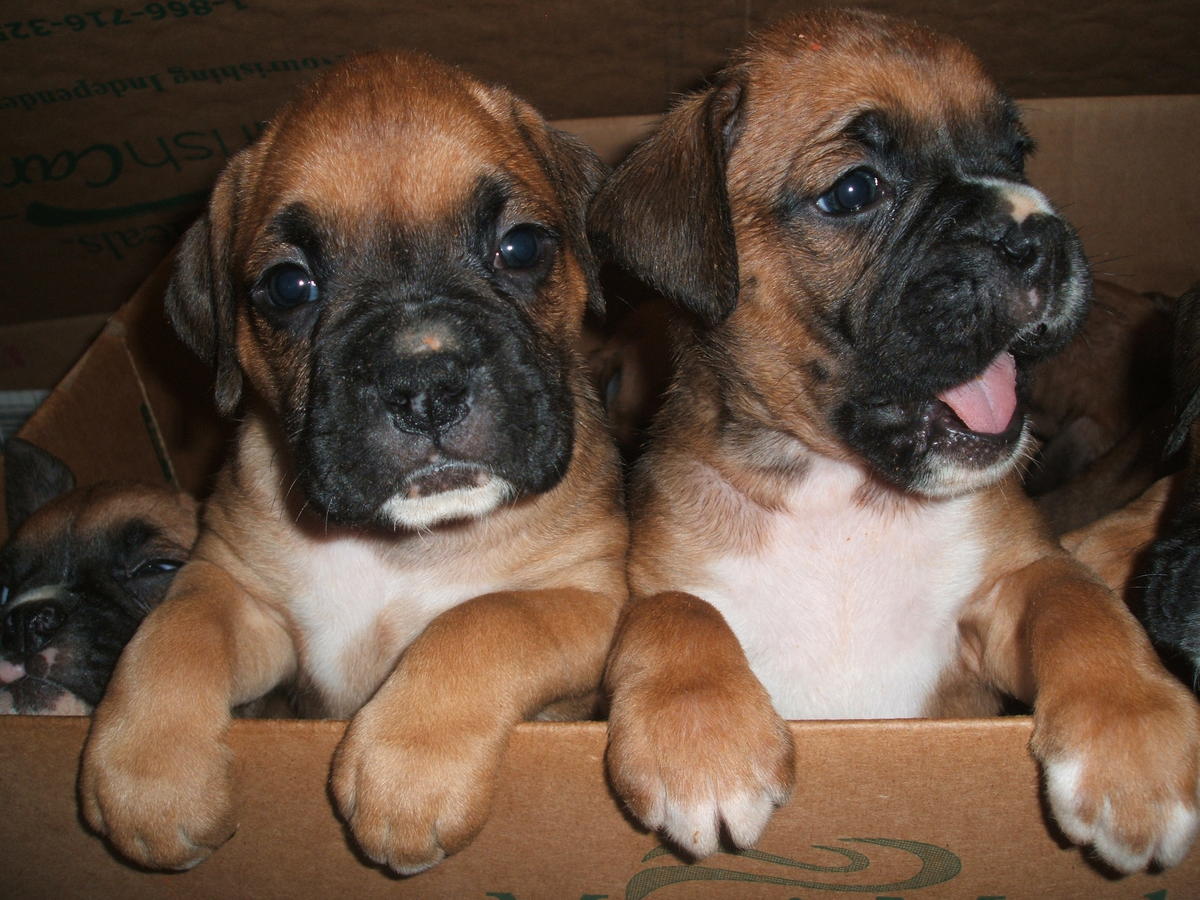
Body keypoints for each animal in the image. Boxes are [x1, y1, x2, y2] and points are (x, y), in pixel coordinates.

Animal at [77, 52, 628, 878]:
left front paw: (410, 765)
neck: (398, 549)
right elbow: (173, 635)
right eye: (288, 286)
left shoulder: (590, 596)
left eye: (522, 246)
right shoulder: (237, 589)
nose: (425, 385)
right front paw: (149, 771)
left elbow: (483, 620)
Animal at [590, 8, 1200, 883]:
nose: (1035, 232)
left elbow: (1079, 603)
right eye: (854, 191)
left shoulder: (1008, 593)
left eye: (1015, 154)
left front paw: (1133, 741)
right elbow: (673, 610)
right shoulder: (658, 581)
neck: (842, 495)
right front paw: (700, 742)